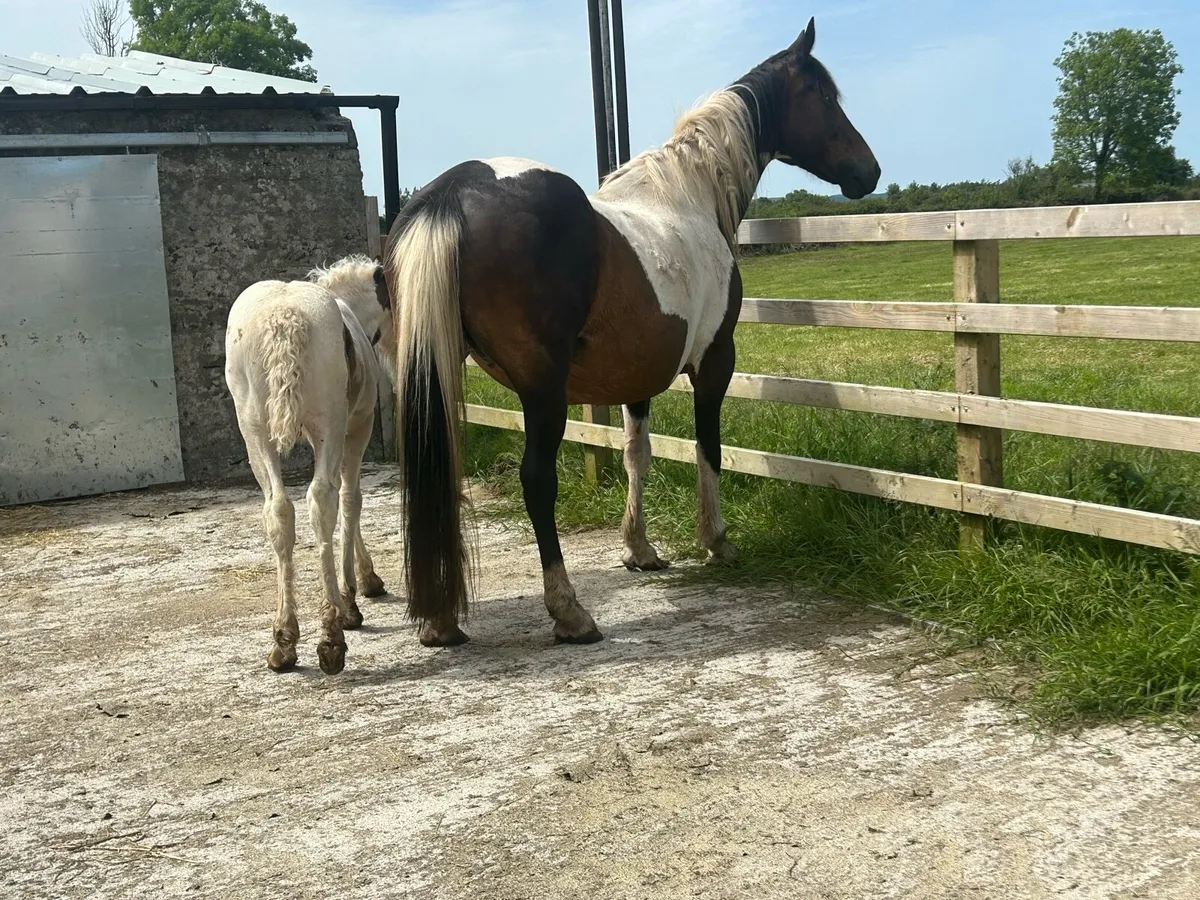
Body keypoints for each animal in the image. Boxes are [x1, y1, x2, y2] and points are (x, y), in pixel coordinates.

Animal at [224, 255, 396, 675]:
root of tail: (283, 318)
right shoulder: (357, 428)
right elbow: (351, 500)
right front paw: (355, 592)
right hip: (329, 428)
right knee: (323, 500)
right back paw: (332, 636)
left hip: (256, 433)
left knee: (280, 510)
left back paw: (284, 642)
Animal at [384, 17, 879, 647]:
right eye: (822, 95)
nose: (869, 171)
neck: (688, 197)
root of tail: (453, 191)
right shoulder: (715, 361)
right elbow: (708, 448)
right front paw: (716, 541)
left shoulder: (636, 373)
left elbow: (635, 455)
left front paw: (639, 549)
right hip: (541, 391)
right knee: (536, 480)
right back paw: (570, 612)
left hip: (434, 375)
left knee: (434, 472)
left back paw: (442, 620)